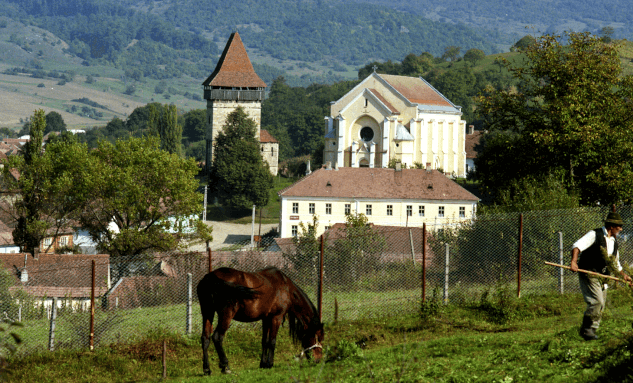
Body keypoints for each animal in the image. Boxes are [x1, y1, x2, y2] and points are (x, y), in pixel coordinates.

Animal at [196, 268, 326, 376]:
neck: (286, 288)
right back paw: (225, 367)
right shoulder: (276, 318)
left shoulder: (266, 318)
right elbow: (272, 341)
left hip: (207, 312)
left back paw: (207, 369)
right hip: (226, 315)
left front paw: (263, 364)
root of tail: (210, 277)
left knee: (205, 338)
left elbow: (265, 341)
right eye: (319, 337)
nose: (318, 359)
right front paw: (270, 364)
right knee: (217, 337)